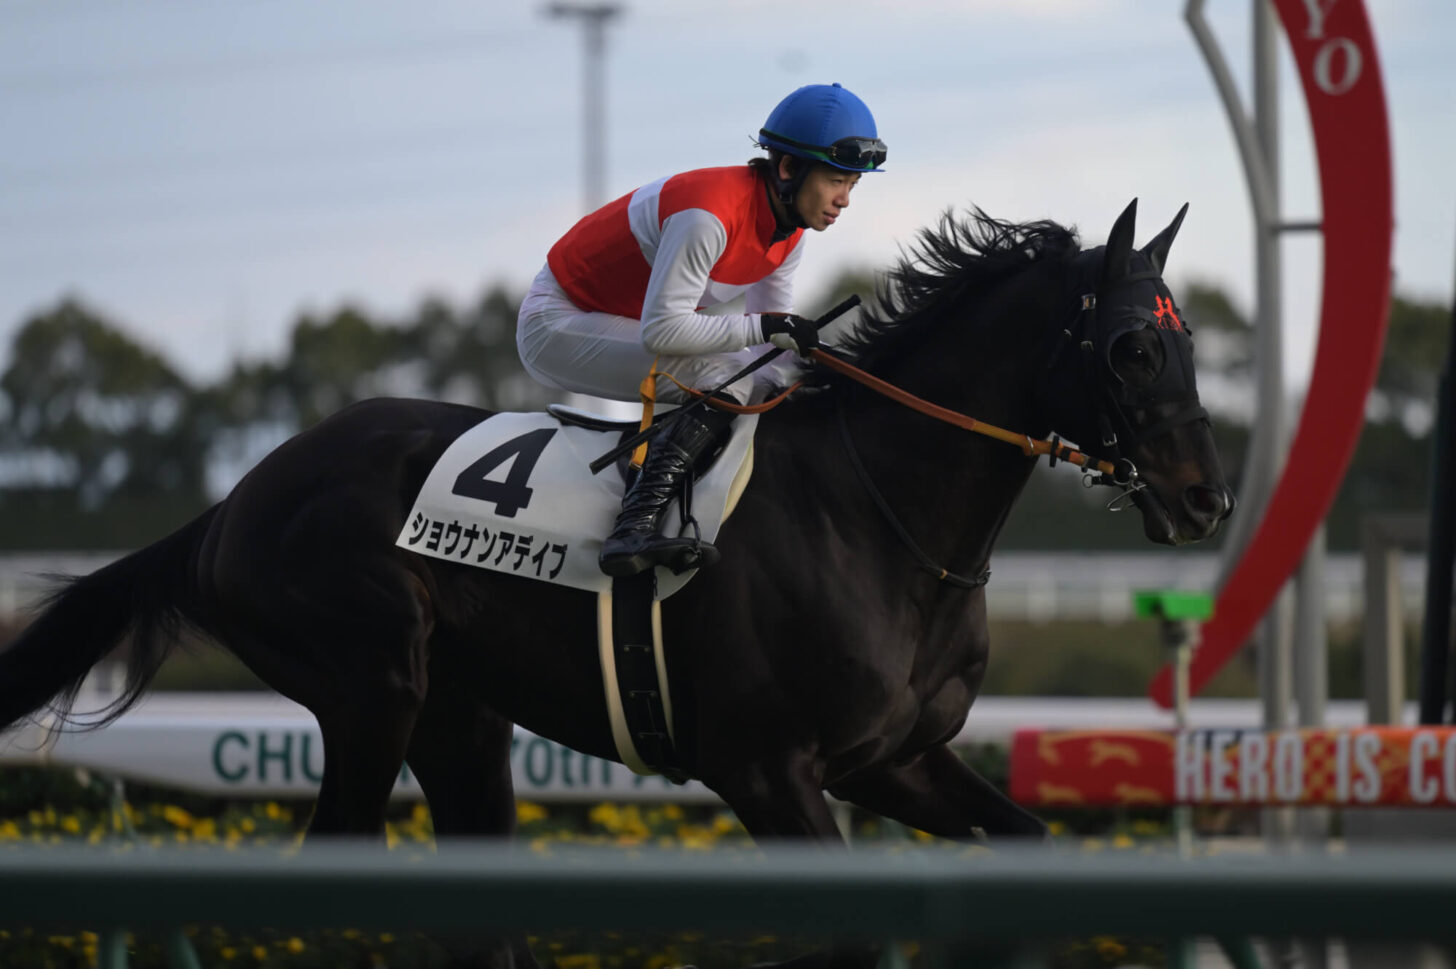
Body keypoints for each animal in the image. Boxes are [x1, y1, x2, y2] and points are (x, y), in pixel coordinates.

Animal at [0, 196, 1228, 960]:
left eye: (1187, 342)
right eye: (1132, 347)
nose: (1204, 497)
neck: (880, 515)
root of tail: (230, 505)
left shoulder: (895, 761)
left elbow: (1023, 853)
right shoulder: (763, 768)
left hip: (459, 717)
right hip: (368, 689)